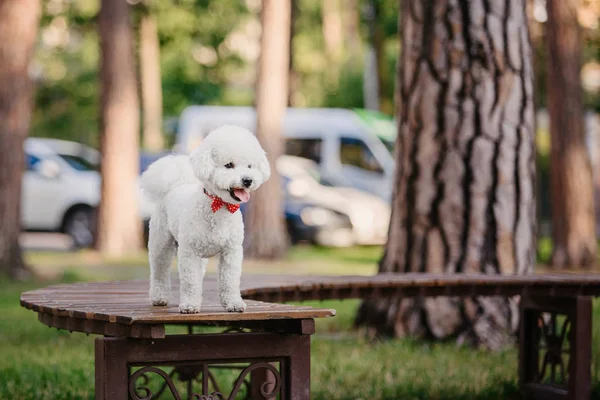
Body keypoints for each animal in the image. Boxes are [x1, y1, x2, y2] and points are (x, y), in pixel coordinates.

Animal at [141, 126, 270, 314]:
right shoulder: (189, 253)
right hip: (161, 243)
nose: (247, 180)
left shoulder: (231, 252)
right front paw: (189, 305)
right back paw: (159, 297)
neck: (218, 207)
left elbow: (230, 280)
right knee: (159, 270)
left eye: (250, 166)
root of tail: (176, 185)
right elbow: (190, 281)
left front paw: (233, 303)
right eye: (229, 165)